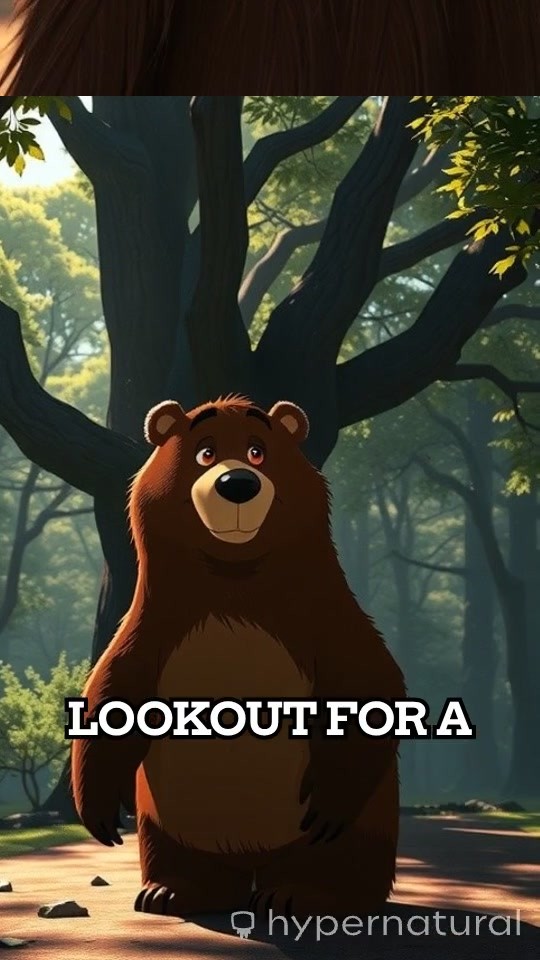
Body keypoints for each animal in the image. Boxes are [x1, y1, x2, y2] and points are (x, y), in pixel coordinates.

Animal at [71, 395, 406, 921]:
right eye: (205, 452)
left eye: (257, 451)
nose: (238, 485)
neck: (233, 575)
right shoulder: (153, 624)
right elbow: (111, 691)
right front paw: (102, 815)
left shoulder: (324, 615)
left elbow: (370, 683)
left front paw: (327, 803)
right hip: (169, 816)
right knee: (179, 851)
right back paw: (172, 891)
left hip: (356, 822)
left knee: (337, 851)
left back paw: (303, 895)